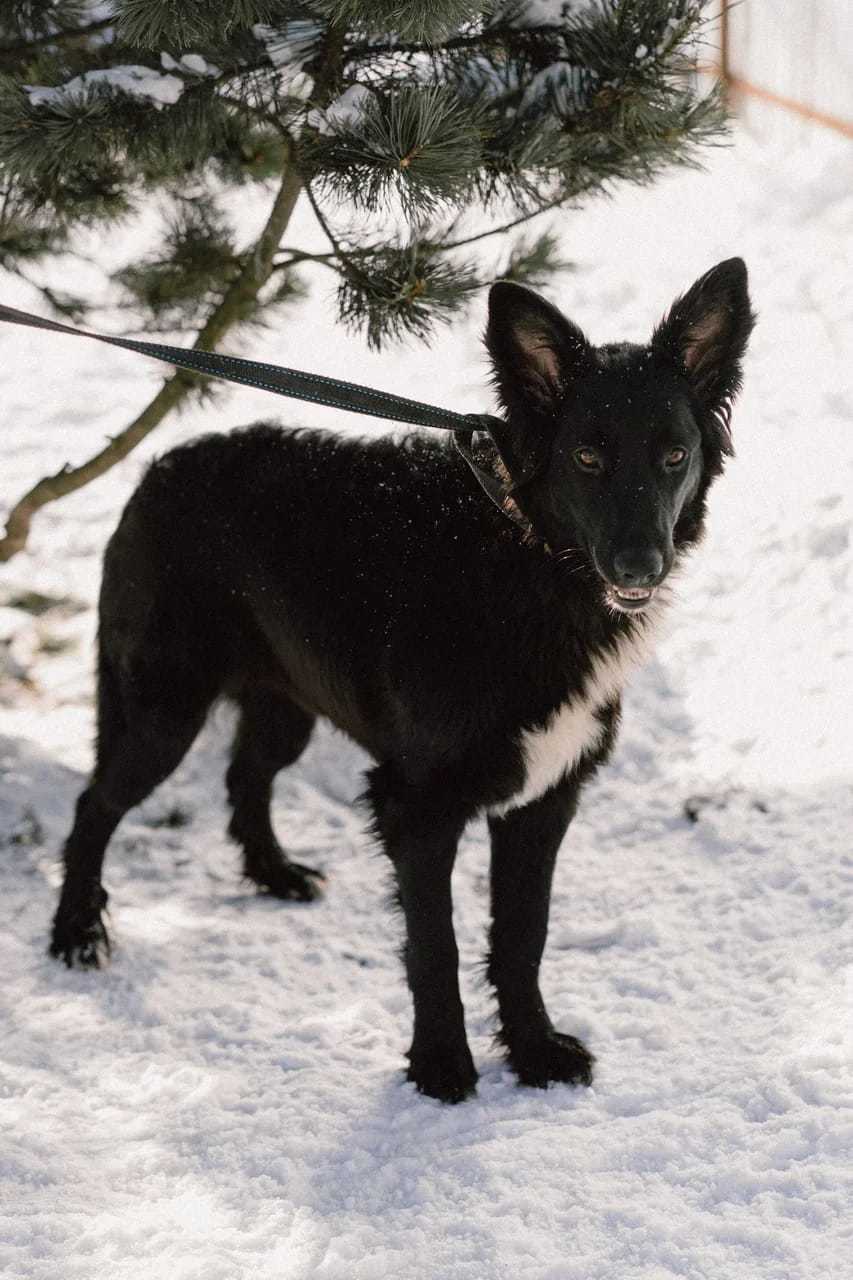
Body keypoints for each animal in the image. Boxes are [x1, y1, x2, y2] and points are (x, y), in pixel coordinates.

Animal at [49, 259, 753, 1100]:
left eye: (673, 456)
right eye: (587, 459)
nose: (639, 569)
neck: (524, 559)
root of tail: (158, 468)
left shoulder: (543, 799)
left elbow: (523, 936)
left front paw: (533, 1051)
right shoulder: (416, 806)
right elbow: (434, 948)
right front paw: (442, 1066)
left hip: (284, 703)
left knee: (246, 773)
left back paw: (274, 874)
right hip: (163, 709)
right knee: (95, 803)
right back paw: (75, 931)